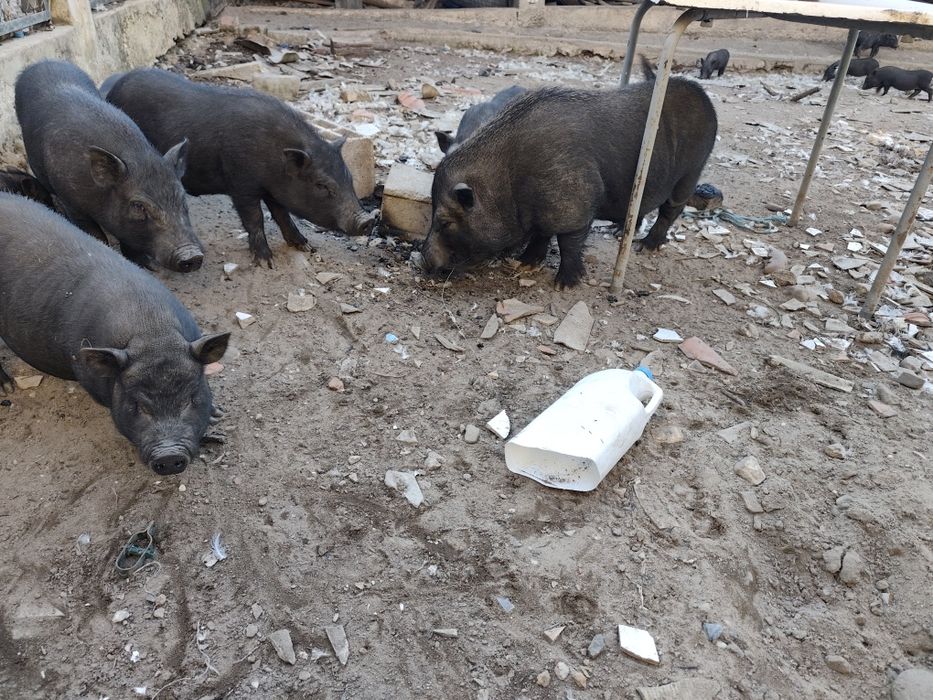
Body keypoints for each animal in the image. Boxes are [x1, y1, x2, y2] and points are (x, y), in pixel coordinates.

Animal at [0, 193, 229, 475]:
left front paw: (218, 414)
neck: (152, 332)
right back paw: (8, 388)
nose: (168, 455)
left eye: (191, 399)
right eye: (138, 405)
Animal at [14, 60, 203, 272]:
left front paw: (149, 266)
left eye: (182, 197)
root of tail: (43, 62)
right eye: (138, 205)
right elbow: (94, 233)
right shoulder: (71, 202)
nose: (193, 255)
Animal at [105, 68, 376, 266]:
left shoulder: (272, 189)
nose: (367, 220)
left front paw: (306, 246)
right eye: (321, 185)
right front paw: (266, 263)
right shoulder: (241, 183)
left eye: (349, 178)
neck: (272, 157)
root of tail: (116, 85)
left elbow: (282, 215)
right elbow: (254, 218)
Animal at [422, 61, 717, 288]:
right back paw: (616, 231)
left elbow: (568, 243)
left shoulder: (576, 203)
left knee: (671, 209)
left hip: (692, 169)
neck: (508, 180)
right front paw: (524, 264)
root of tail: (705, 99)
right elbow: (541, 235)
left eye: (445, 222)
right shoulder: (541, 212)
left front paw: (564, 285)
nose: (424, 258)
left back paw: (645, 247)